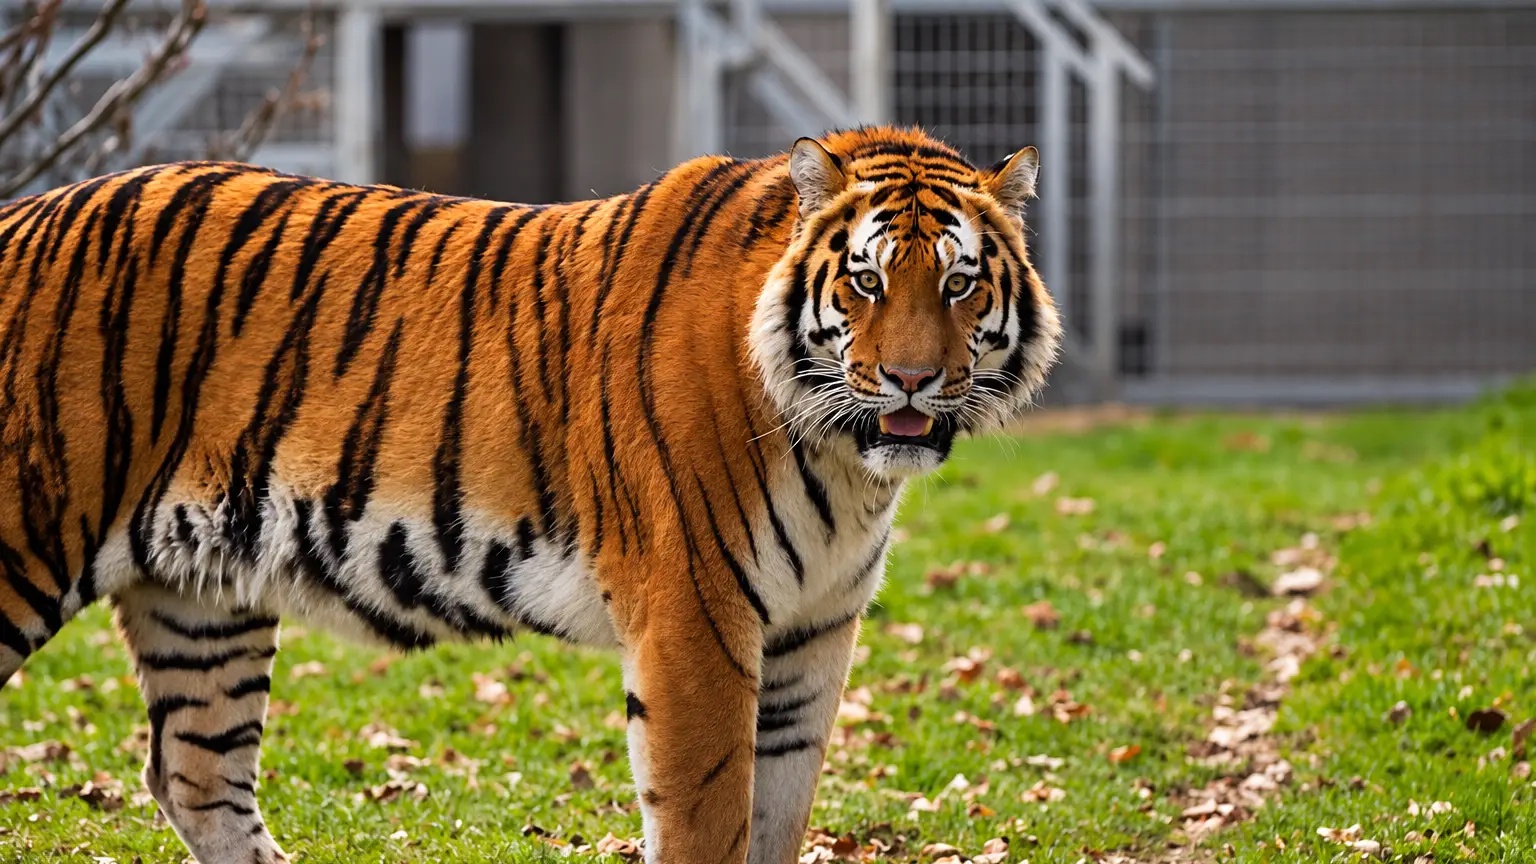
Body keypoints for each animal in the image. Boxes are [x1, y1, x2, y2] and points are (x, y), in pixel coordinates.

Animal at [0, 126, 1060, 863]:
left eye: (960, 284)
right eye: (867, 281)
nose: (913, 382)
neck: (844, 463)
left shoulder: (813, 633)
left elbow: (775, 819)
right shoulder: (697, 619)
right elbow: (708, 821)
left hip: (200, 598)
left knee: (195, 775)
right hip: (26, 546)